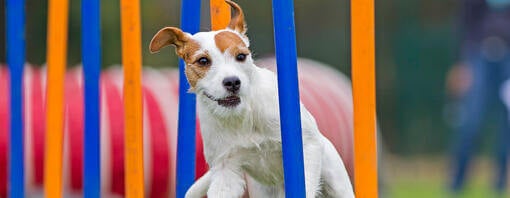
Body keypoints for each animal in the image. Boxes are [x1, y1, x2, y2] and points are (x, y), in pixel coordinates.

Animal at [148, 1, 354, 196]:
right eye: (203, 61)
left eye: (241, 56)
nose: (232, 82)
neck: (242, 116)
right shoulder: (225, 169)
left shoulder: (306, 145)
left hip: (336, 181)